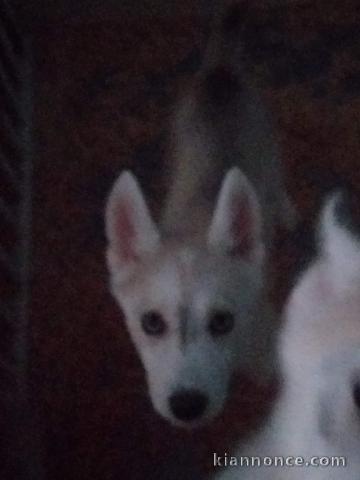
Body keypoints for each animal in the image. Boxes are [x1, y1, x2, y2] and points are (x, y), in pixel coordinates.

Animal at [105, 0, 296, 428]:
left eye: (222, 321)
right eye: (151, 322)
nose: (187, 405)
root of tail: (219, 71)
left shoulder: (266, 357)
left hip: (269, 144)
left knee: (274, 180)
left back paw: (284, 209)